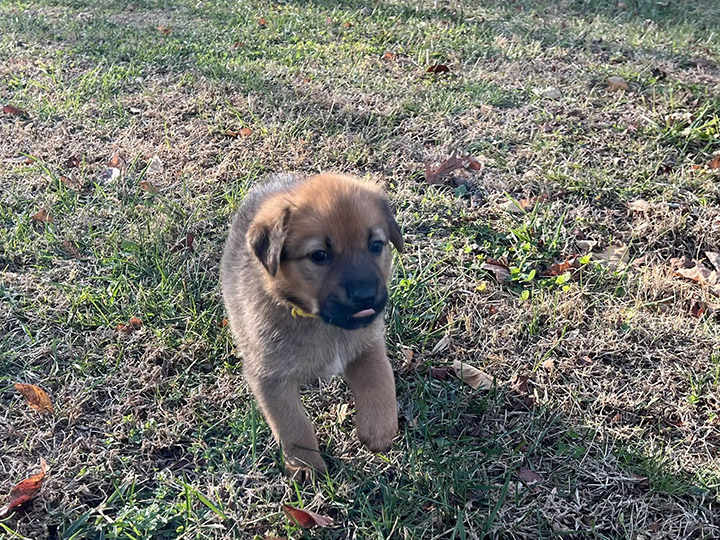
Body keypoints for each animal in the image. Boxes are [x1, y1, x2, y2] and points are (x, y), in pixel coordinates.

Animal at [219, 172, 402, 476]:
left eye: (376, 245)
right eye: (319, 255)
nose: (366, 296)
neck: (320, 323)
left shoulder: (367, 343)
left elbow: (379, 377)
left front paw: (379, 427)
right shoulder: (270, 378)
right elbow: (292, 424)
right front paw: (306, 465)